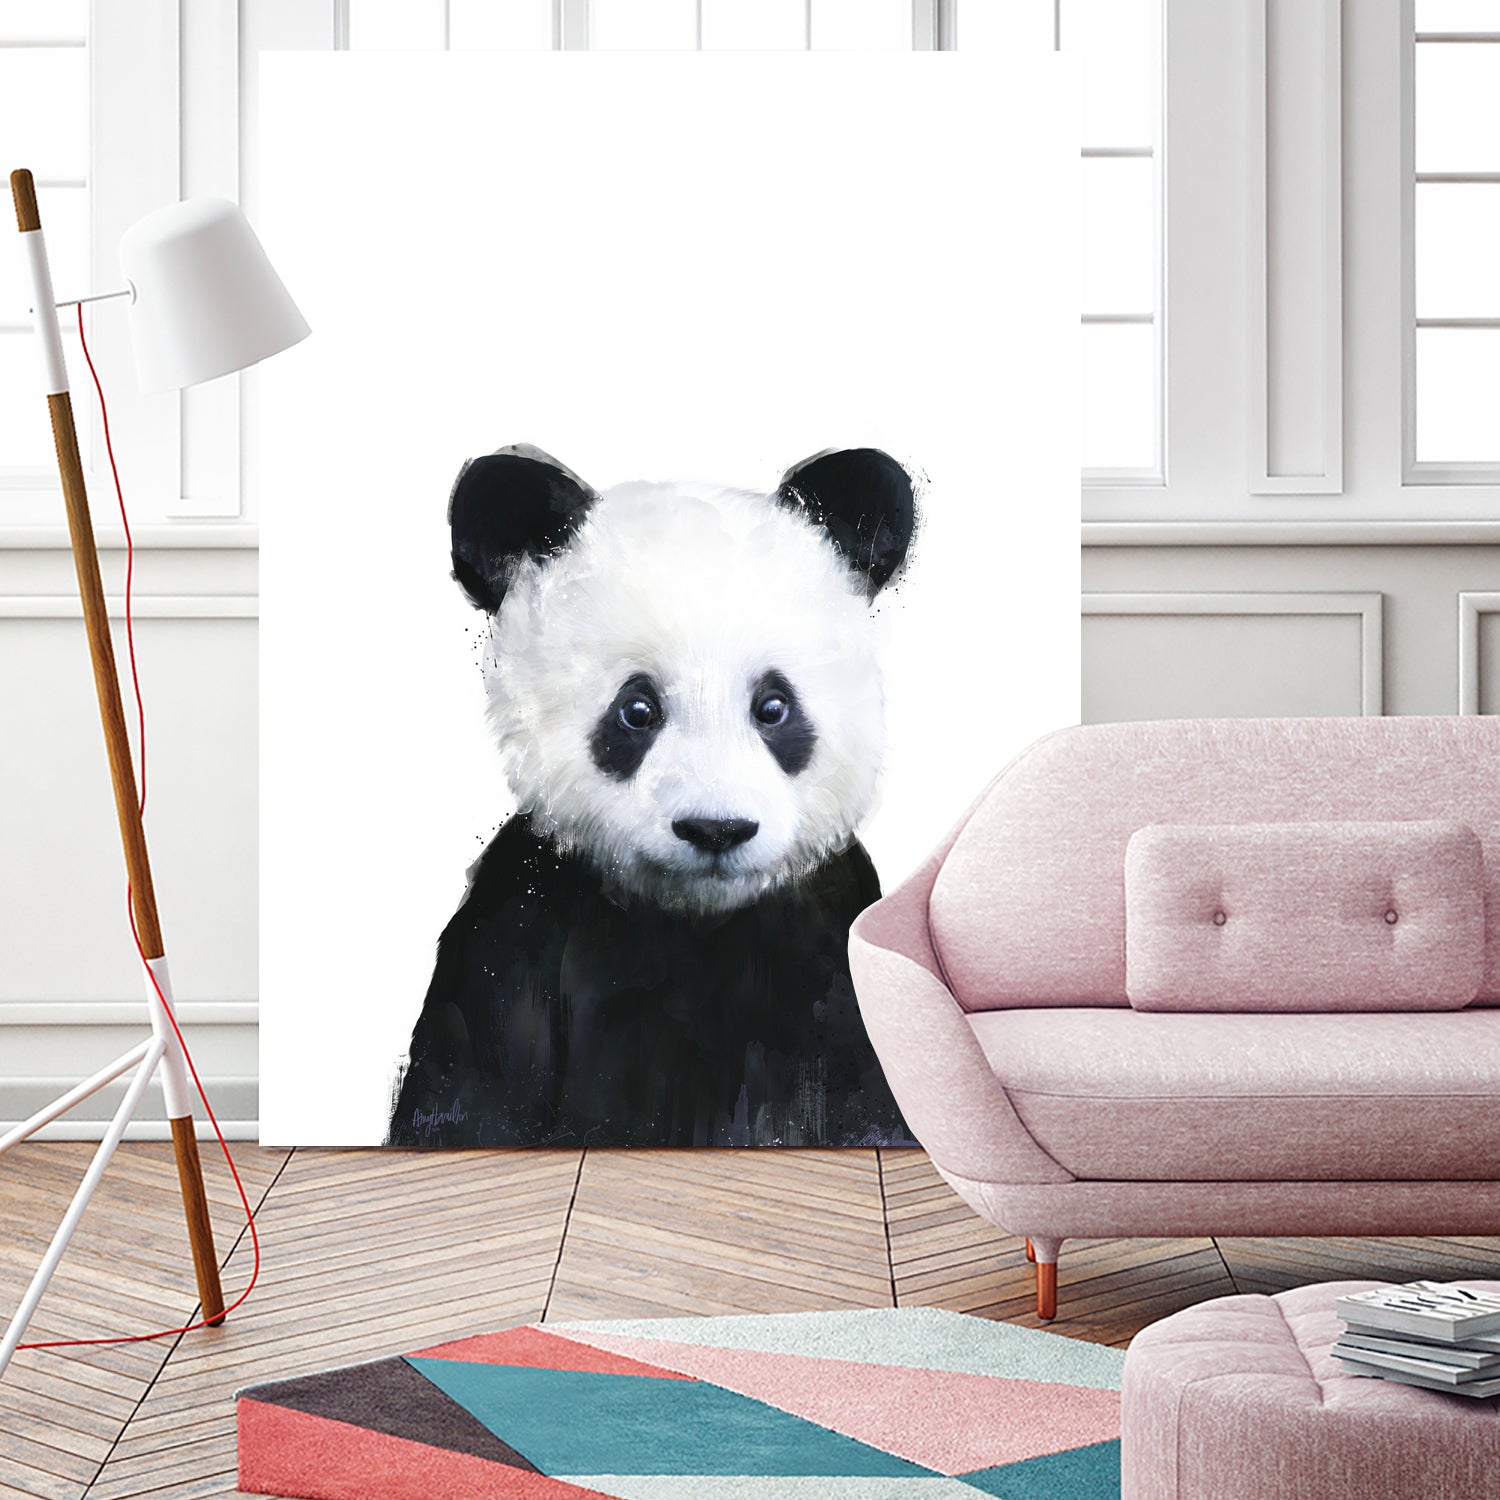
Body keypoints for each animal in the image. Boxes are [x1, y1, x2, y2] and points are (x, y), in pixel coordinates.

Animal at [387, 444, 917, 1148]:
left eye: (773, 706)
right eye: (636, 710)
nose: (716, 829)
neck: (694, 919)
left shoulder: (826, 942)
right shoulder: (519, 930)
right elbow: (470, 1096)